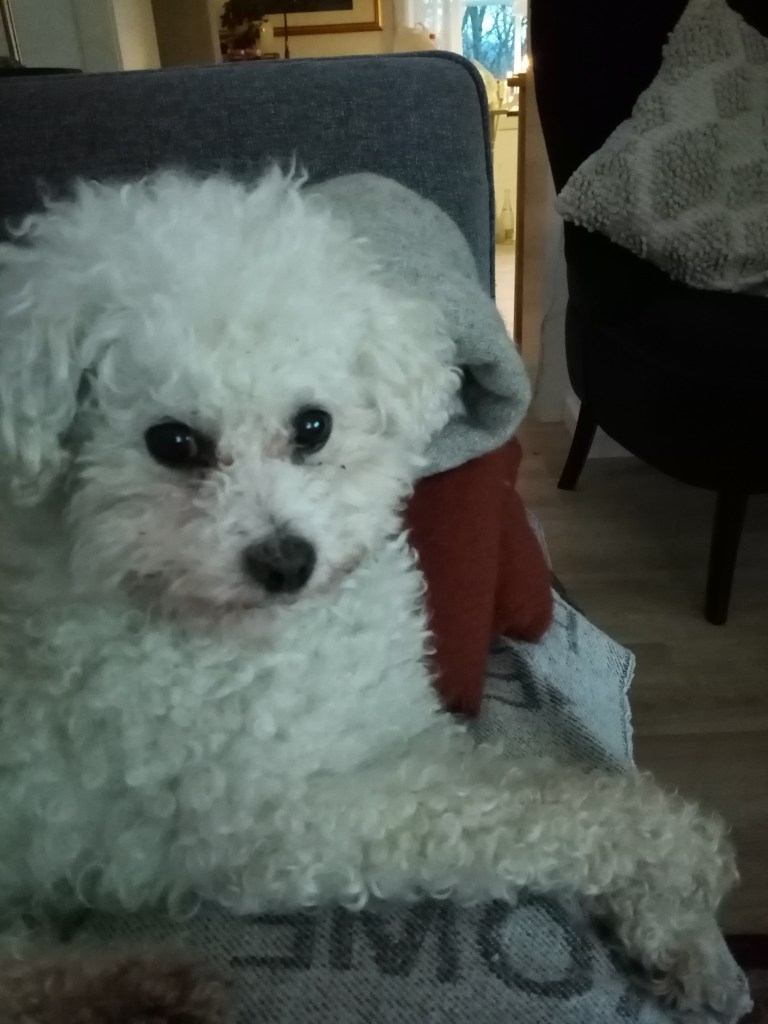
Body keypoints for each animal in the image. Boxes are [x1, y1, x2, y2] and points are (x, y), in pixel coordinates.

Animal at [0, 169, 740, 1017]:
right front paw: (681, 851)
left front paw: (682, 939)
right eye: (173, 442)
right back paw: (146, 985)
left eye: (313, 426)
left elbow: (531, 789)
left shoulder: (400, 735)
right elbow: (529, 816)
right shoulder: (292, 824)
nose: (285, 561)